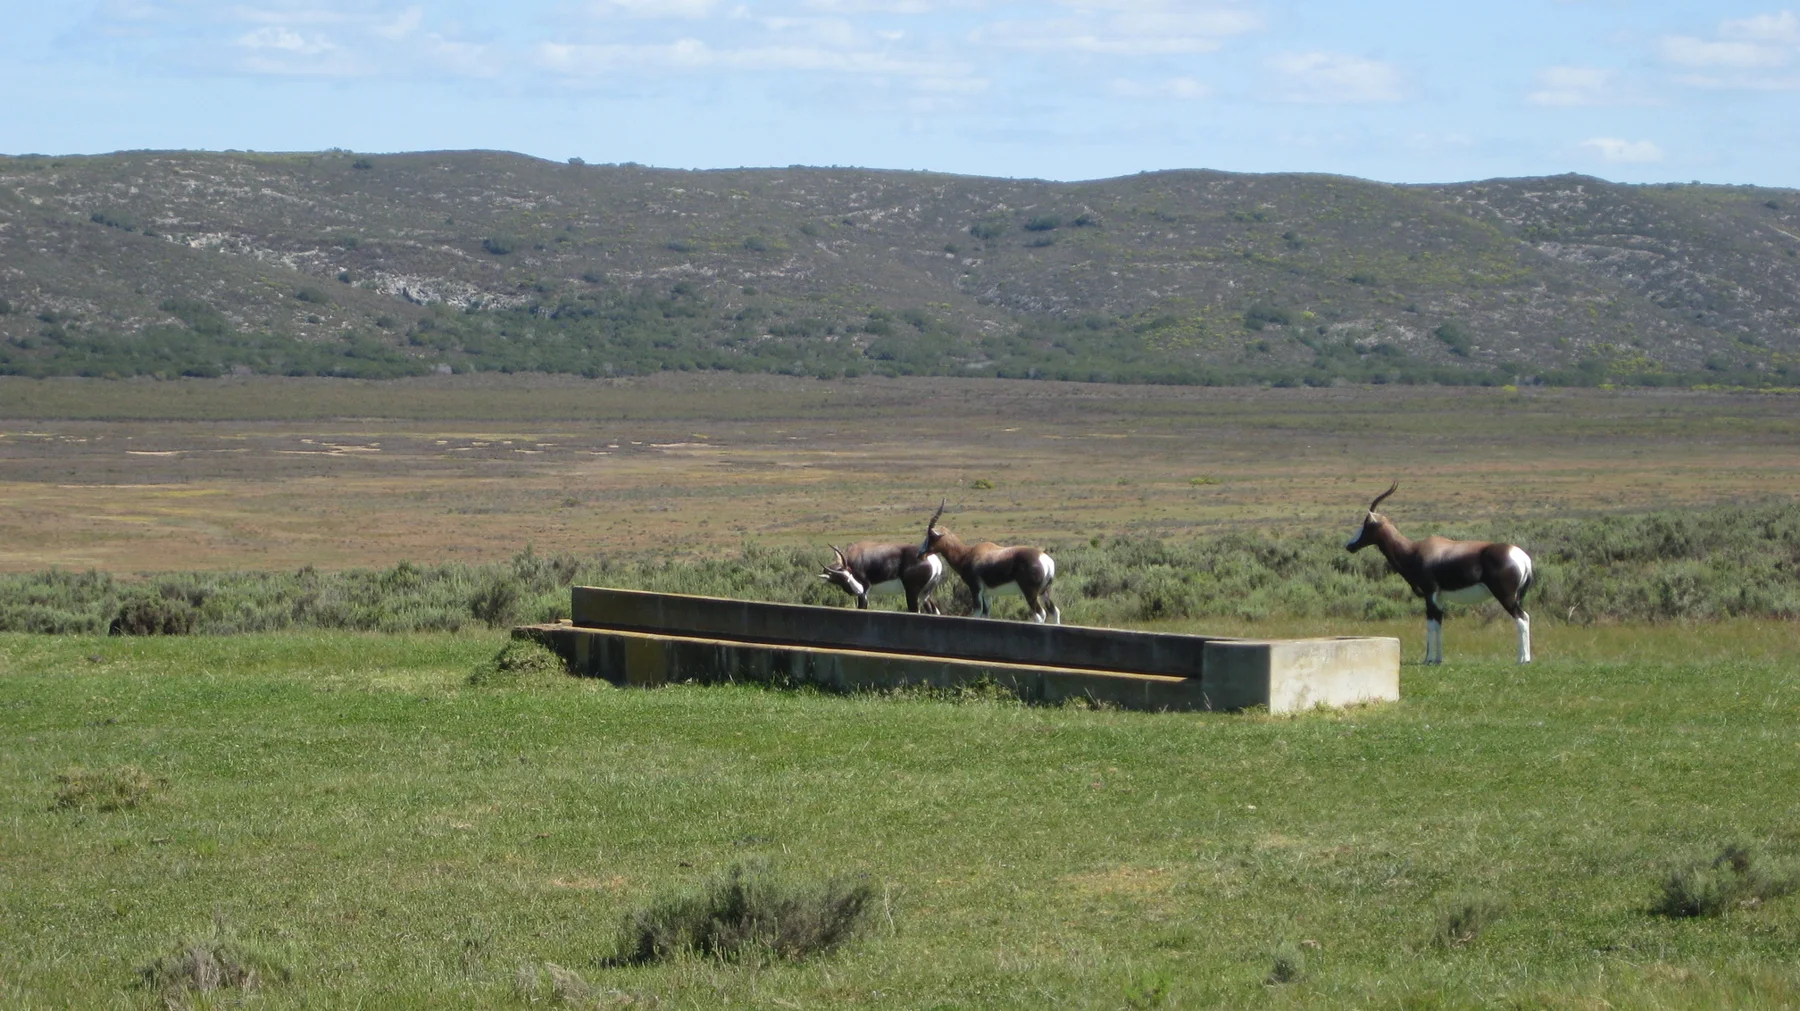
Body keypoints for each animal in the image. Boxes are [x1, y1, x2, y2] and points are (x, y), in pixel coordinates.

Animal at [818, 542, 947, 614]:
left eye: (849, 571)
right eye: (839, 577)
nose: (858, 589)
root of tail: (933, 560)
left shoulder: (864, 593)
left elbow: (862, 608)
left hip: (912, 593)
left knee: (915, 610)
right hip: (924, 593)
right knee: (934, 610)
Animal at [919, 500, 1061, 623]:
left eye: (930, 536)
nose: (920, 554)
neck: (968, 553)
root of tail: (1045, 559)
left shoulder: (976, 589)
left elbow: (976, 613)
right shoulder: (987, 594)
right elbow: (986, 615)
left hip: (1030, 593)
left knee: (1040, 614)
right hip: (1044, 592)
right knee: (1055, 611)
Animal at [1345, 482, 1535, 664]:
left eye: (1366, 524)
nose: (1349, 546)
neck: (1414, 550)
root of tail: (1524, 558)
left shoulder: (1430, 594)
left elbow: (1431, 624)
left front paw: (1429, 659)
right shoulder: (1440, 597)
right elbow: (1439, 624)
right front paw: (1438, 659)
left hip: (1505, 596)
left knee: (1522, 618)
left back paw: (1523, 660)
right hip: (1515, 597)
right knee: (1523, 617)